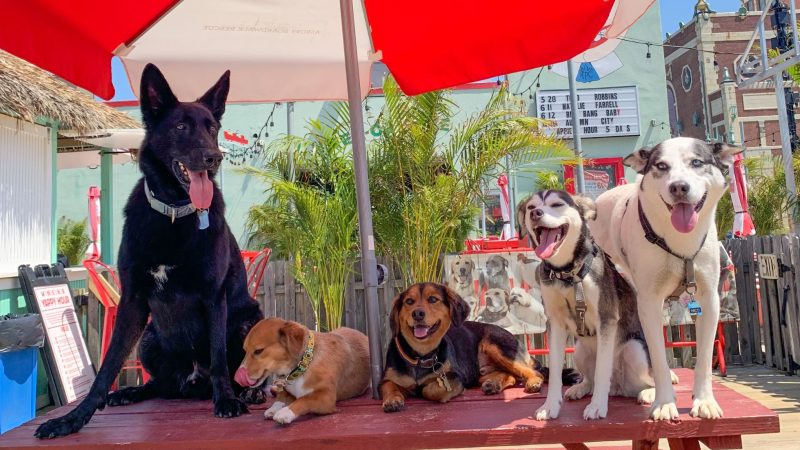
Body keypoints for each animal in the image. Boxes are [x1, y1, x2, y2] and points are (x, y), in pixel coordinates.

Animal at [36, 65, 262, 438]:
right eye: (181, 127)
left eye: (212, 129)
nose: (214, 157)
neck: (173, 212)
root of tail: (193, 381)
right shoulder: (132, 302)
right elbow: (106, 368)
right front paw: (73, 417)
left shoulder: (214, 297)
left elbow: (217, 356)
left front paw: (227, 400)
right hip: (149, 338)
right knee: (161, 385)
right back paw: (130, 392)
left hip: (249, 322)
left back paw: (249, 391)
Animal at [231, 318, 368, 424]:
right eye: (245, 350)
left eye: (259, 351)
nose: (237, 378)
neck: (303, 365)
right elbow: (282, 396)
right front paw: (274, 408)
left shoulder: (326, 398)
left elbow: (304, 400)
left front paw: (286, 412)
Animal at [378, 284, 548, 414]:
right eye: (409, 301)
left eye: (433, 299)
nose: (417, 313)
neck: (420, 355)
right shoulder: (386, 380)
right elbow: (389, 386)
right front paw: (393, 400)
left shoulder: (454, 377)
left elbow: (431, 389)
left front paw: (424, 390)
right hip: (483, 372)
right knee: (511, 375)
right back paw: (493, 385)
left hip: (497, 344)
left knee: (533, 372)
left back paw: (533, 382)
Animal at [520, 191, 664, 422]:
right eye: (531, 207)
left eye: (557, 204)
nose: (536, 213)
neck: (567, 273)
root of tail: (618, 388)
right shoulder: (555, 324)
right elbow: (555, 375)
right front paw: (549, 406)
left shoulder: (606, 319)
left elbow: (602, 369)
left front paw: (597, 406)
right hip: (580, 351)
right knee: (591, 379)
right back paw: (580, 388)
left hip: (635, 350)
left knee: (645, 379)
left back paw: (648, 392)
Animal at [592, 138, 740, 422]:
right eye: (661, 166)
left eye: (697, 162)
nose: (679, 186)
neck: (679, 241)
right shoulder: (649, 301)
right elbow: (658, 357)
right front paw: (664, 403)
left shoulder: (709, 299)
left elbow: (704, 357)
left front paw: (704, 401)